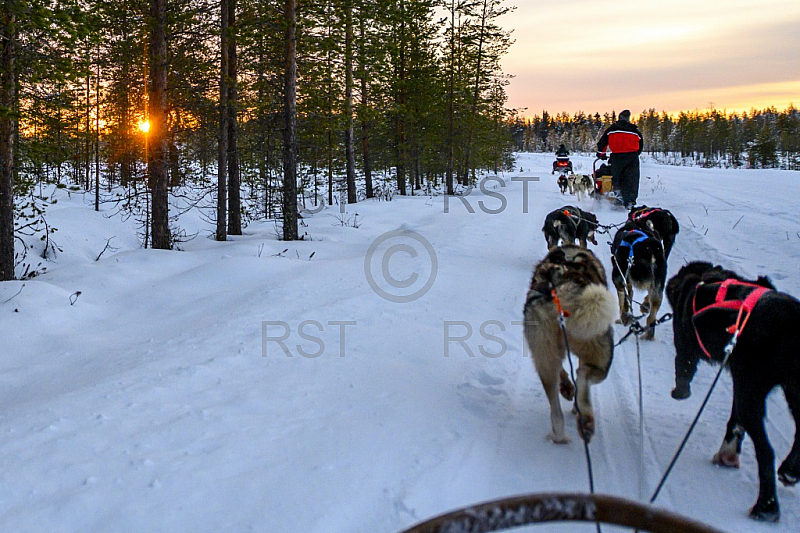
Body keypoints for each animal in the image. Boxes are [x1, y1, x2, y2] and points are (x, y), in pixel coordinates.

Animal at [524, 243, 620, 442]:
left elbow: (562, 371)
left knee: (555, 407)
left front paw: (566, 387)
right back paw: (585, 417)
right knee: (583, 375)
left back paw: (560, 434)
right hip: (602, 353)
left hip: (544, 355)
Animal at [664, 260, 800, 520]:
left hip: (754, 393)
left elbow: (683, 371)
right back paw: (789, 469)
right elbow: (735, 422)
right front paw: (728, 452)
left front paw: (680, 392)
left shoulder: (686, 348)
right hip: (785, 391)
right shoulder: (740, 380)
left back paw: (765, 506)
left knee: (766, 452)